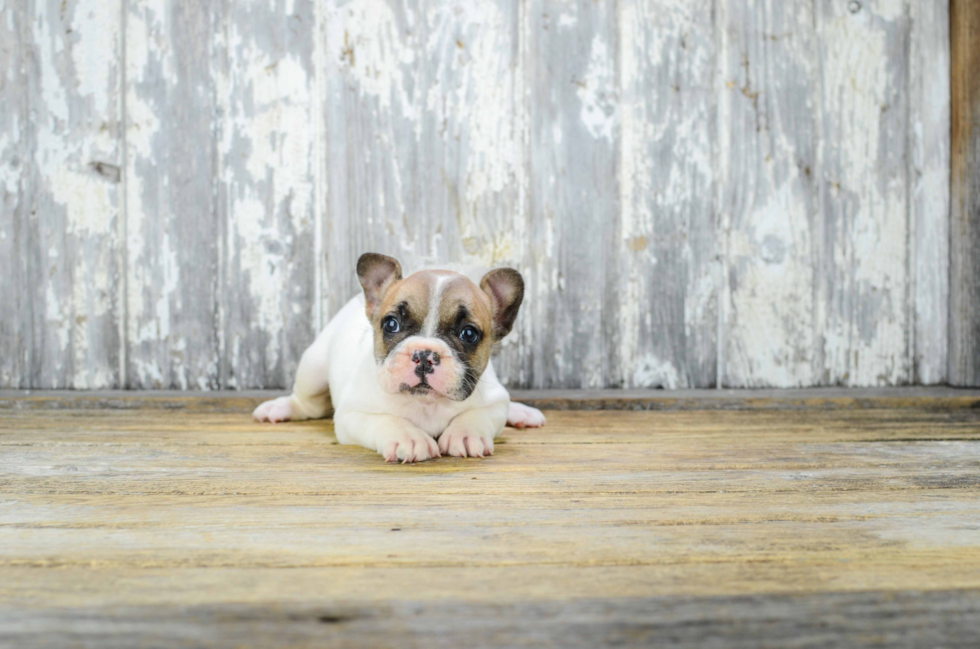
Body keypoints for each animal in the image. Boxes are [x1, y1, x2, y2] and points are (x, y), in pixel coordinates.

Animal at [249, 252, 548, 460]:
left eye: (469, 333)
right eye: (391, 324)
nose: (425, 355)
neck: (426, 404)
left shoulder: (495, 402)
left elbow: (476, 416)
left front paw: (465, 434)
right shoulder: (351, 414)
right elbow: (386, 420)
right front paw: (409, 438)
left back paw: (521, 412)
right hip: (313, 369)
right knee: (307, 404)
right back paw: (280, 408)